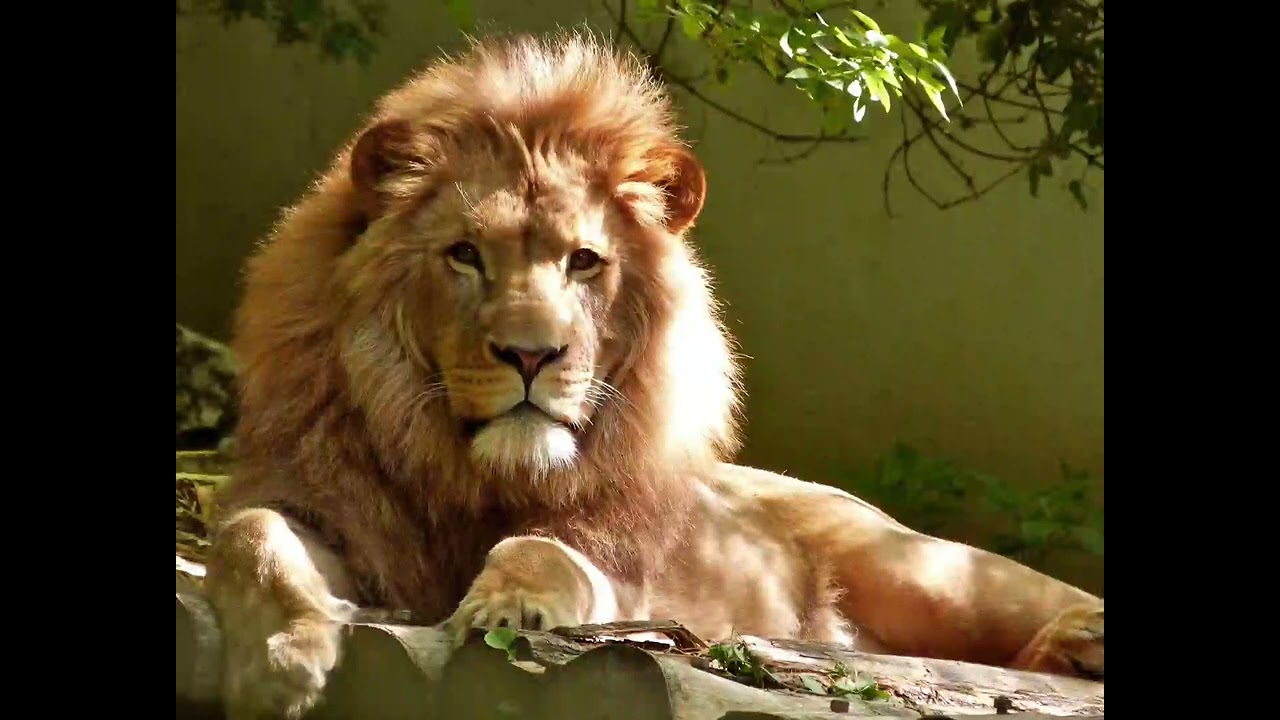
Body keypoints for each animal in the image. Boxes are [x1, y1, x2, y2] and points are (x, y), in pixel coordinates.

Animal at [204, 31, 1104, 720]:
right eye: (465, 255)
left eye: (583, 261)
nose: (531, 355)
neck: (472, 475)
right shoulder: (325, 505)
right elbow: (249, 537)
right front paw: (282, 655)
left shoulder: (621, 573)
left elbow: (544, 550)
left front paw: (508, 603)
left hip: (925, 570)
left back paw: (1080, 639)